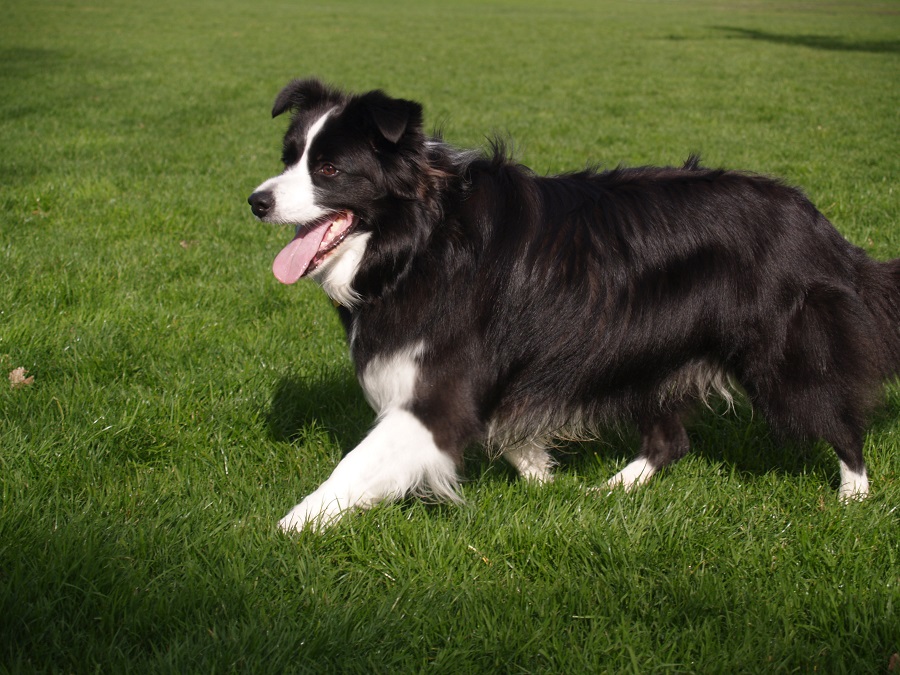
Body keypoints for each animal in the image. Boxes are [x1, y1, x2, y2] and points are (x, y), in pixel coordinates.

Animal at [248, 80, 900, 532]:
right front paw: (542, 476)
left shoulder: (436, 393)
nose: (256, 201)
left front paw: (286, 527)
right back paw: (614, 490)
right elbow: (510, 434)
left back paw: (854, 496)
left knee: (838, 419)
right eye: (288, 157)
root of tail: (819, 227)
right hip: (650, 352)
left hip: (781, 352)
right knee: (671, 440)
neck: (424, 237)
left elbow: (360, 463)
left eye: (329, 168)